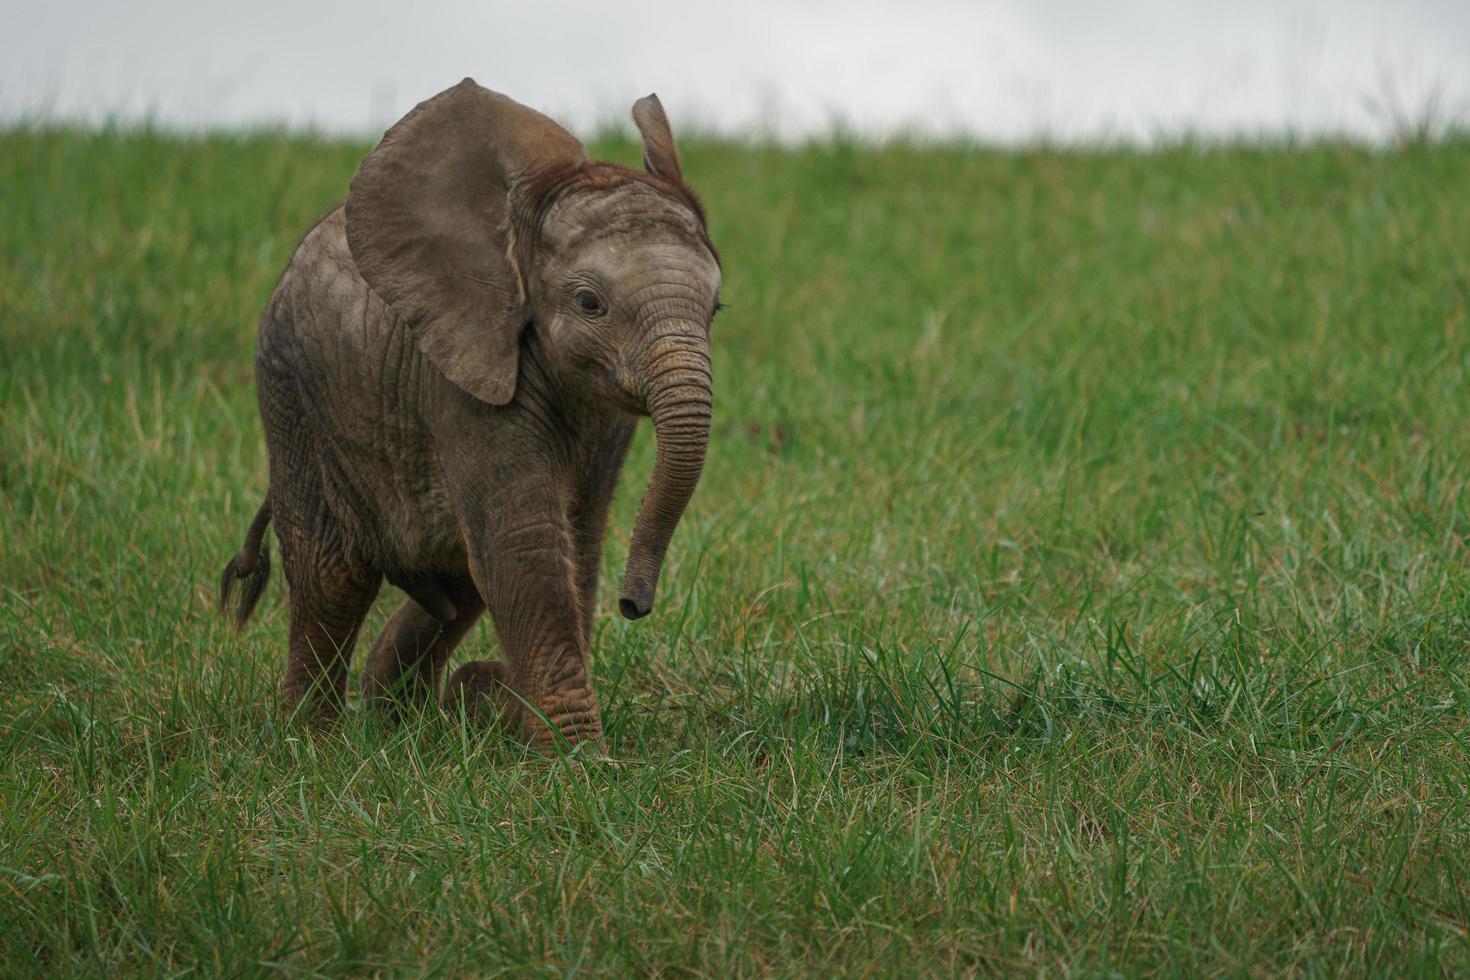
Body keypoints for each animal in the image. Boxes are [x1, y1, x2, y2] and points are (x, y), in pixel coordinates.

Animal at [216, 78, 717, 752]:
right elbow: (525, 545)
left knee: (454, 582)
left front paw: (521, 723)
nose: (635, 606)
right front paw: (579, 762)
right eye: (591, 303)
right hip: (290, 394)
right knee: (333, 575)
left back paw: (405, 717)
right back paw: (314, 745)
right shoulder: (461, 377)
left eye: (716, 309)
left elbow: (575, 541)